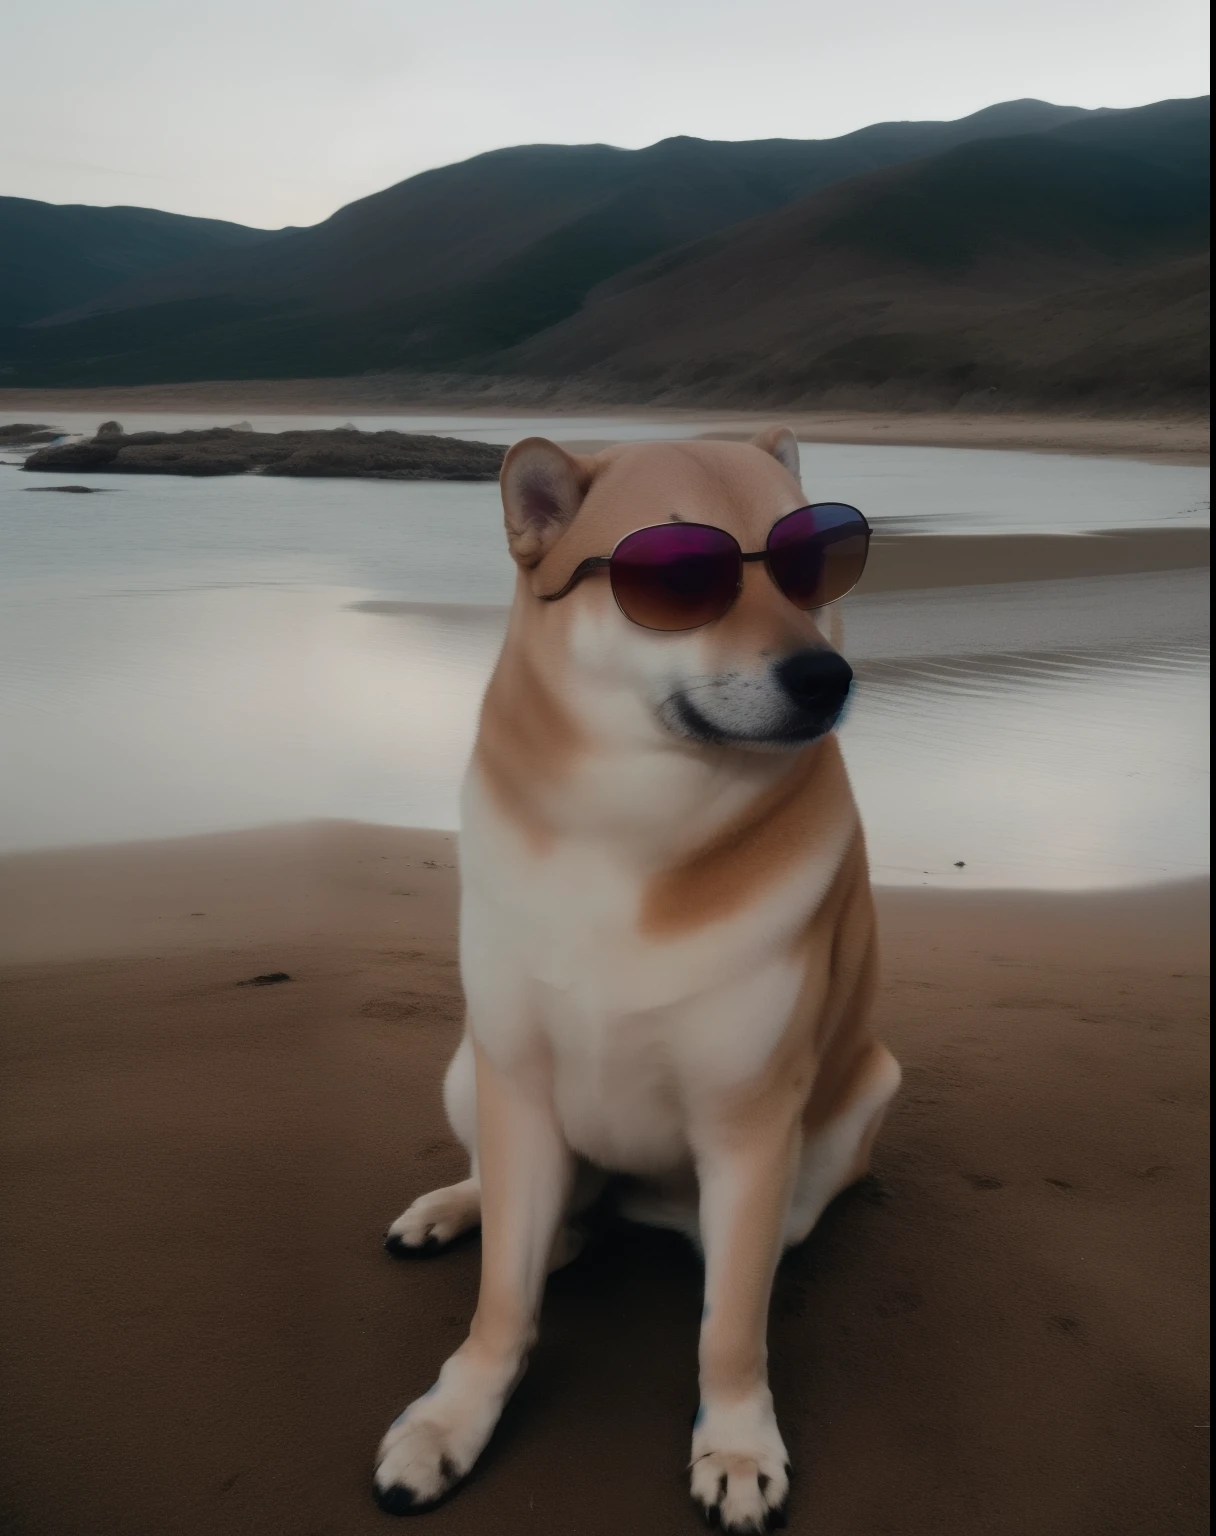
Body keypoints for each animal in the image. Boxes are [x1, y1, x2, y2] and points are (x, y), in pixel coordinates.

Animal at [374, 427, 896, 1529]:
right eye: (681, 579)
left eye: (813, 565)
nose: (824, 676)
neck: (630, 825)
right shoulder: (518, 1082)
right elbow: (503, 1298)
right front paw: (453, 1420)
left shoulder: (748, 1127)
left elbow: (729, 1326)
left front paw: (736, 1444)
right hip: (466, 1070)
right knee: (521, 1206)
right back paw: (453, 1209)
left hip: (844, 1121)